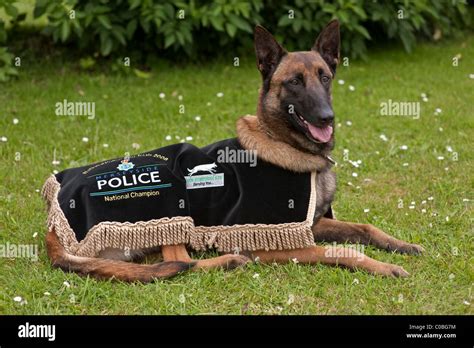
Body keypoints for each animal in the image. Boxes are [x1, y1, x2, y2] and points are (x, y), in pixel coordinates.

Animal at [46, 19, 424, 282]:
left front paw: (401, 245)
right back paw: (227, 260)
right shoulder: (273, 240)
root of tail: (54, 219)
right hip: (171, 208)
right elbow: (341, 250)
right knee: (180, 260)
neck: (283, 143)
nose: (326, 117)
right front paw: (384, 266)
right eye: (294, 82)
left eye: (325, 77)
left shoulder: (310, 223)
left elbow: (364, 228)